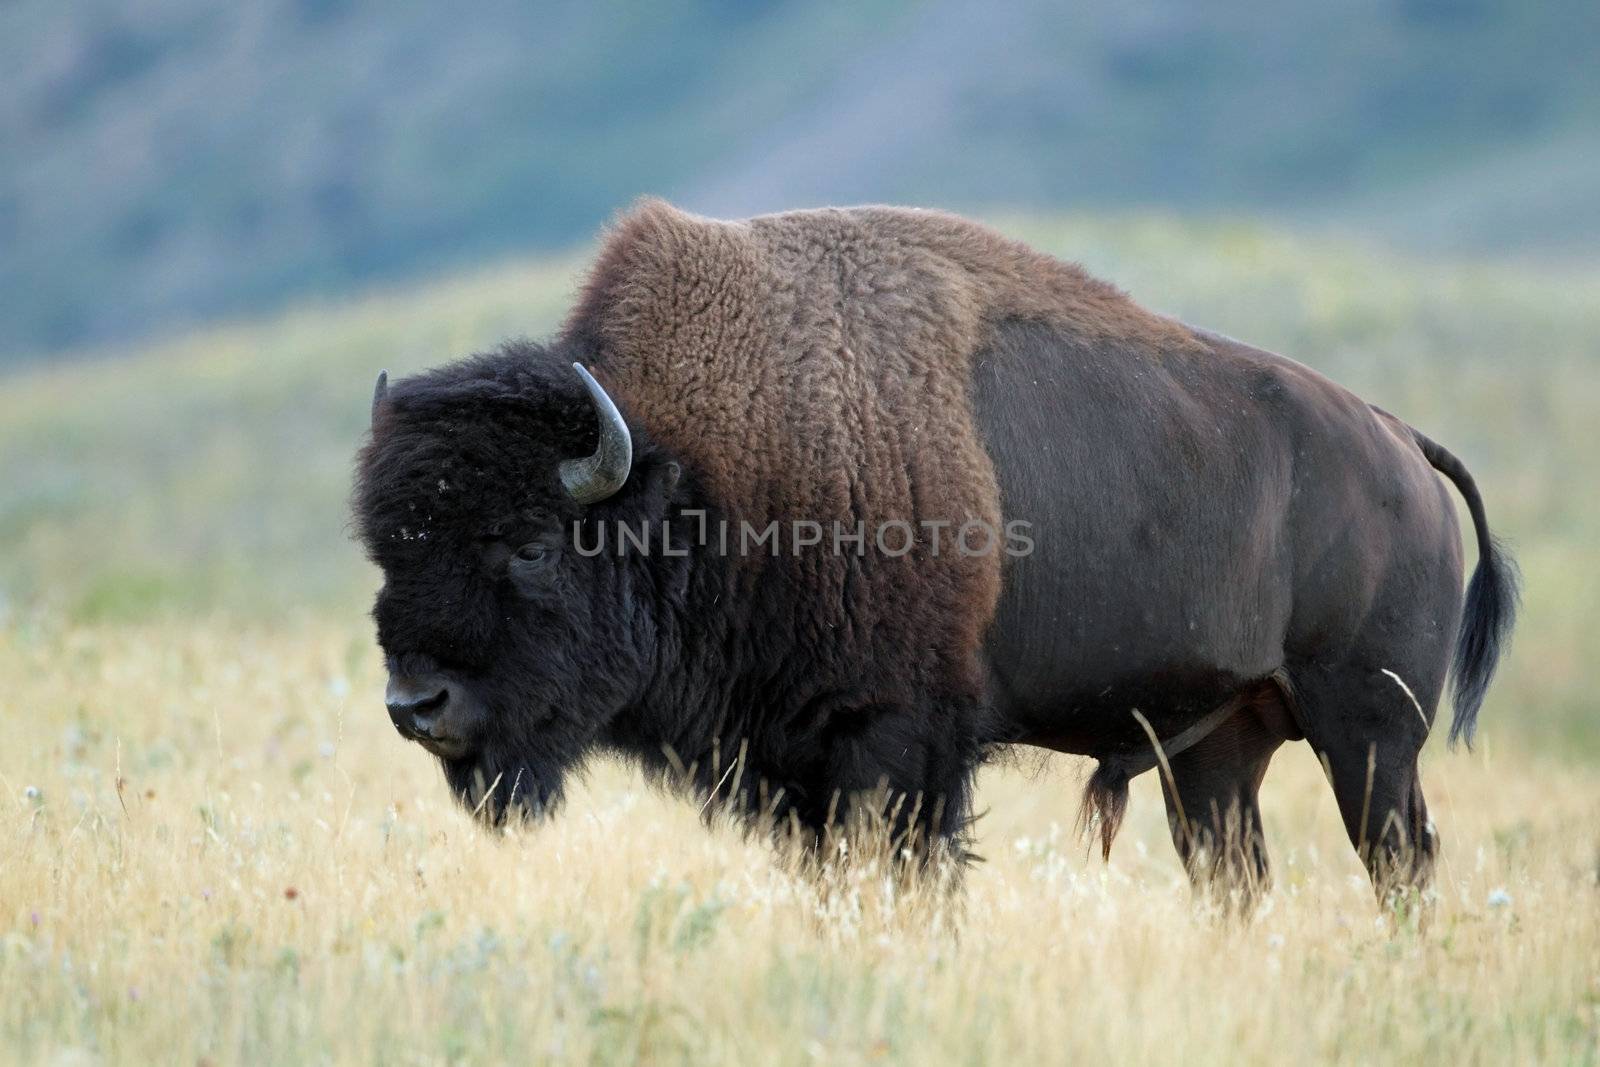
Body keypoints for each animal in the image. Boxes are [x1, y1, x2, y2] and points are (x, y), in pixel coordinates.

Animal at [356, 195, 1516, 895]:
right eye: (385, 549)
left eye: (531, 546)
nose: (416, 706)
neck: (701, 470)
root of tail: (1399, 442)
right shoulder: (801, 764)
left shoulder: (896, 743)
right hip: (1219, 752)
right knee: (1236, 873)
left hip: (1367, 731)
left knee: (1401, 859)